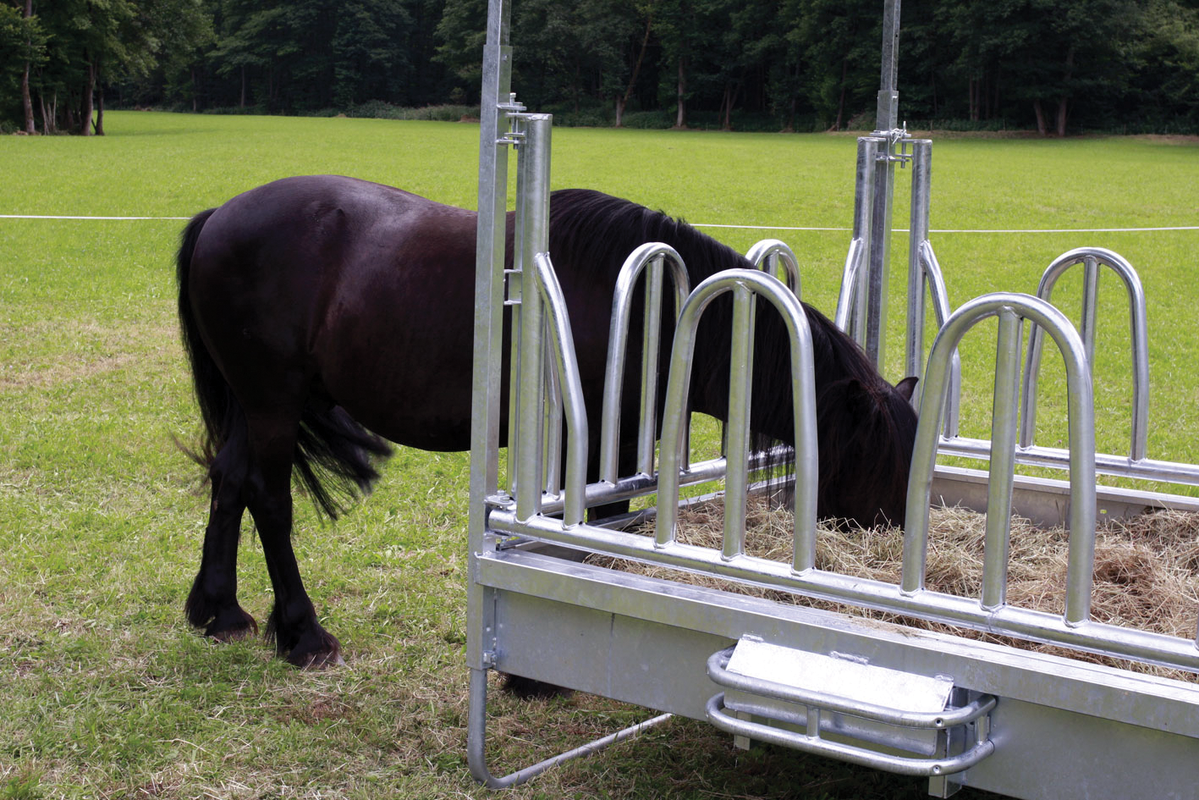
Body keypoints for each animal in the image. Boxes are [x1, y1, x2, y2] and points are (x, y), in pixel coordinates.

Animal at [173, 176, 911, 671]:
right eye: (881, 462)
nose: (894, 541)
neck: (645, 309)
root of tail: (218, 218)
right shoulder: (599, 444)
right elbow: (589, 527)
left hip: (253, 404)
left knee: (230, 481)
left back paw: (219, 612)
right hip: (273, 400)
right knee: (268, 499)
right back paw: (302, 636)